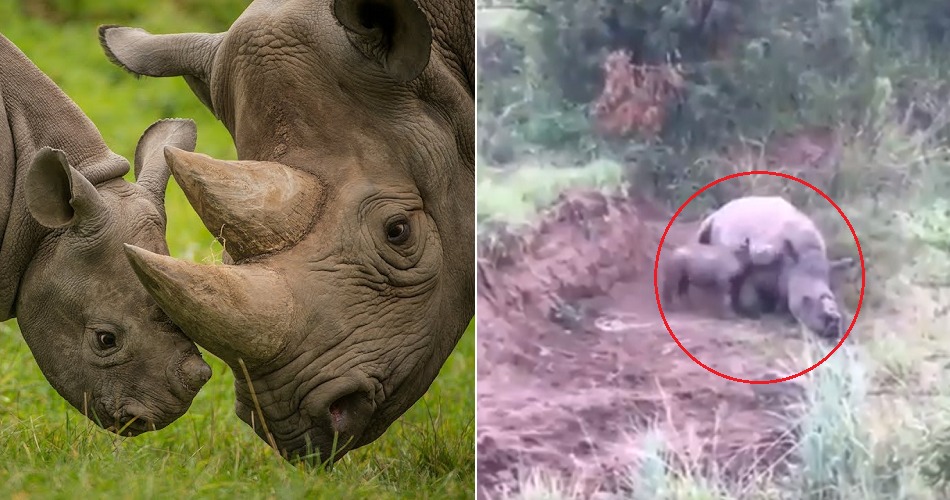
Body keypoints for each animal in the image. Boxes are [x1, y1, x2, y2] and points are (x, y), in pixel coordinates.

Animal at [696, 195, 853, 339]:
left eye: (832, 297)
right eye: (805, 299)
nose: (832, 328)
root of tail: (720, 210)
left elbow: (782, 298)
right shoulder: (759, 265)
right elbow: (752, 294)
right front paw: (756, 313)